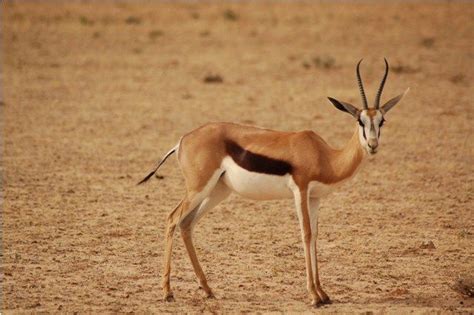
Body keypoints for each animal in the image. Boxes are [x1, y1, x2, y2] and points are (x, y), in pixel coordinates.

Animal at [139, 59, 410, 308]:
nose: (373, 145)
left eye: (381, 121)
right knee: (172, 219)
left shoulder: (315, 198)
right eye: (360, 121)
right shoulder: (300, 190)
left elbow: (315, 236)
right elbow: (306, 233)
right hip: (198, 188)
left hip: (217, 191)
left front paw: (323, 294)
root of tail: (183, 139)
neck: (324, 156)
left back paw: (207, 290)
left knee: (186, 224)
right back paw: (167, 292)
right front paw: (314, 296)